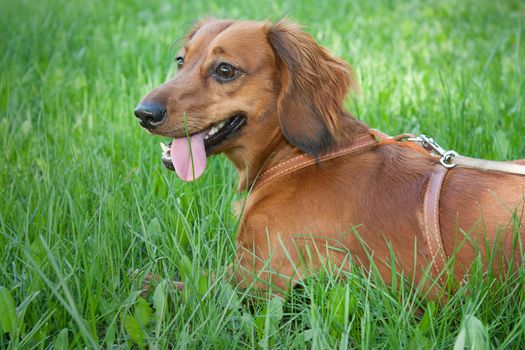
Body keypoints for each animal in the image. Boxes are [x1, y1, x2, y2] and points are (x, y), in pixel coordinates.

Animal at [134, 19, 524, 298]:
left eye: (225, 70)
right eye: (181, 61)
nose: (142, 113)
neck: (296, 157)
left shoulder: (256, 278)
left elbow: (158, 282)